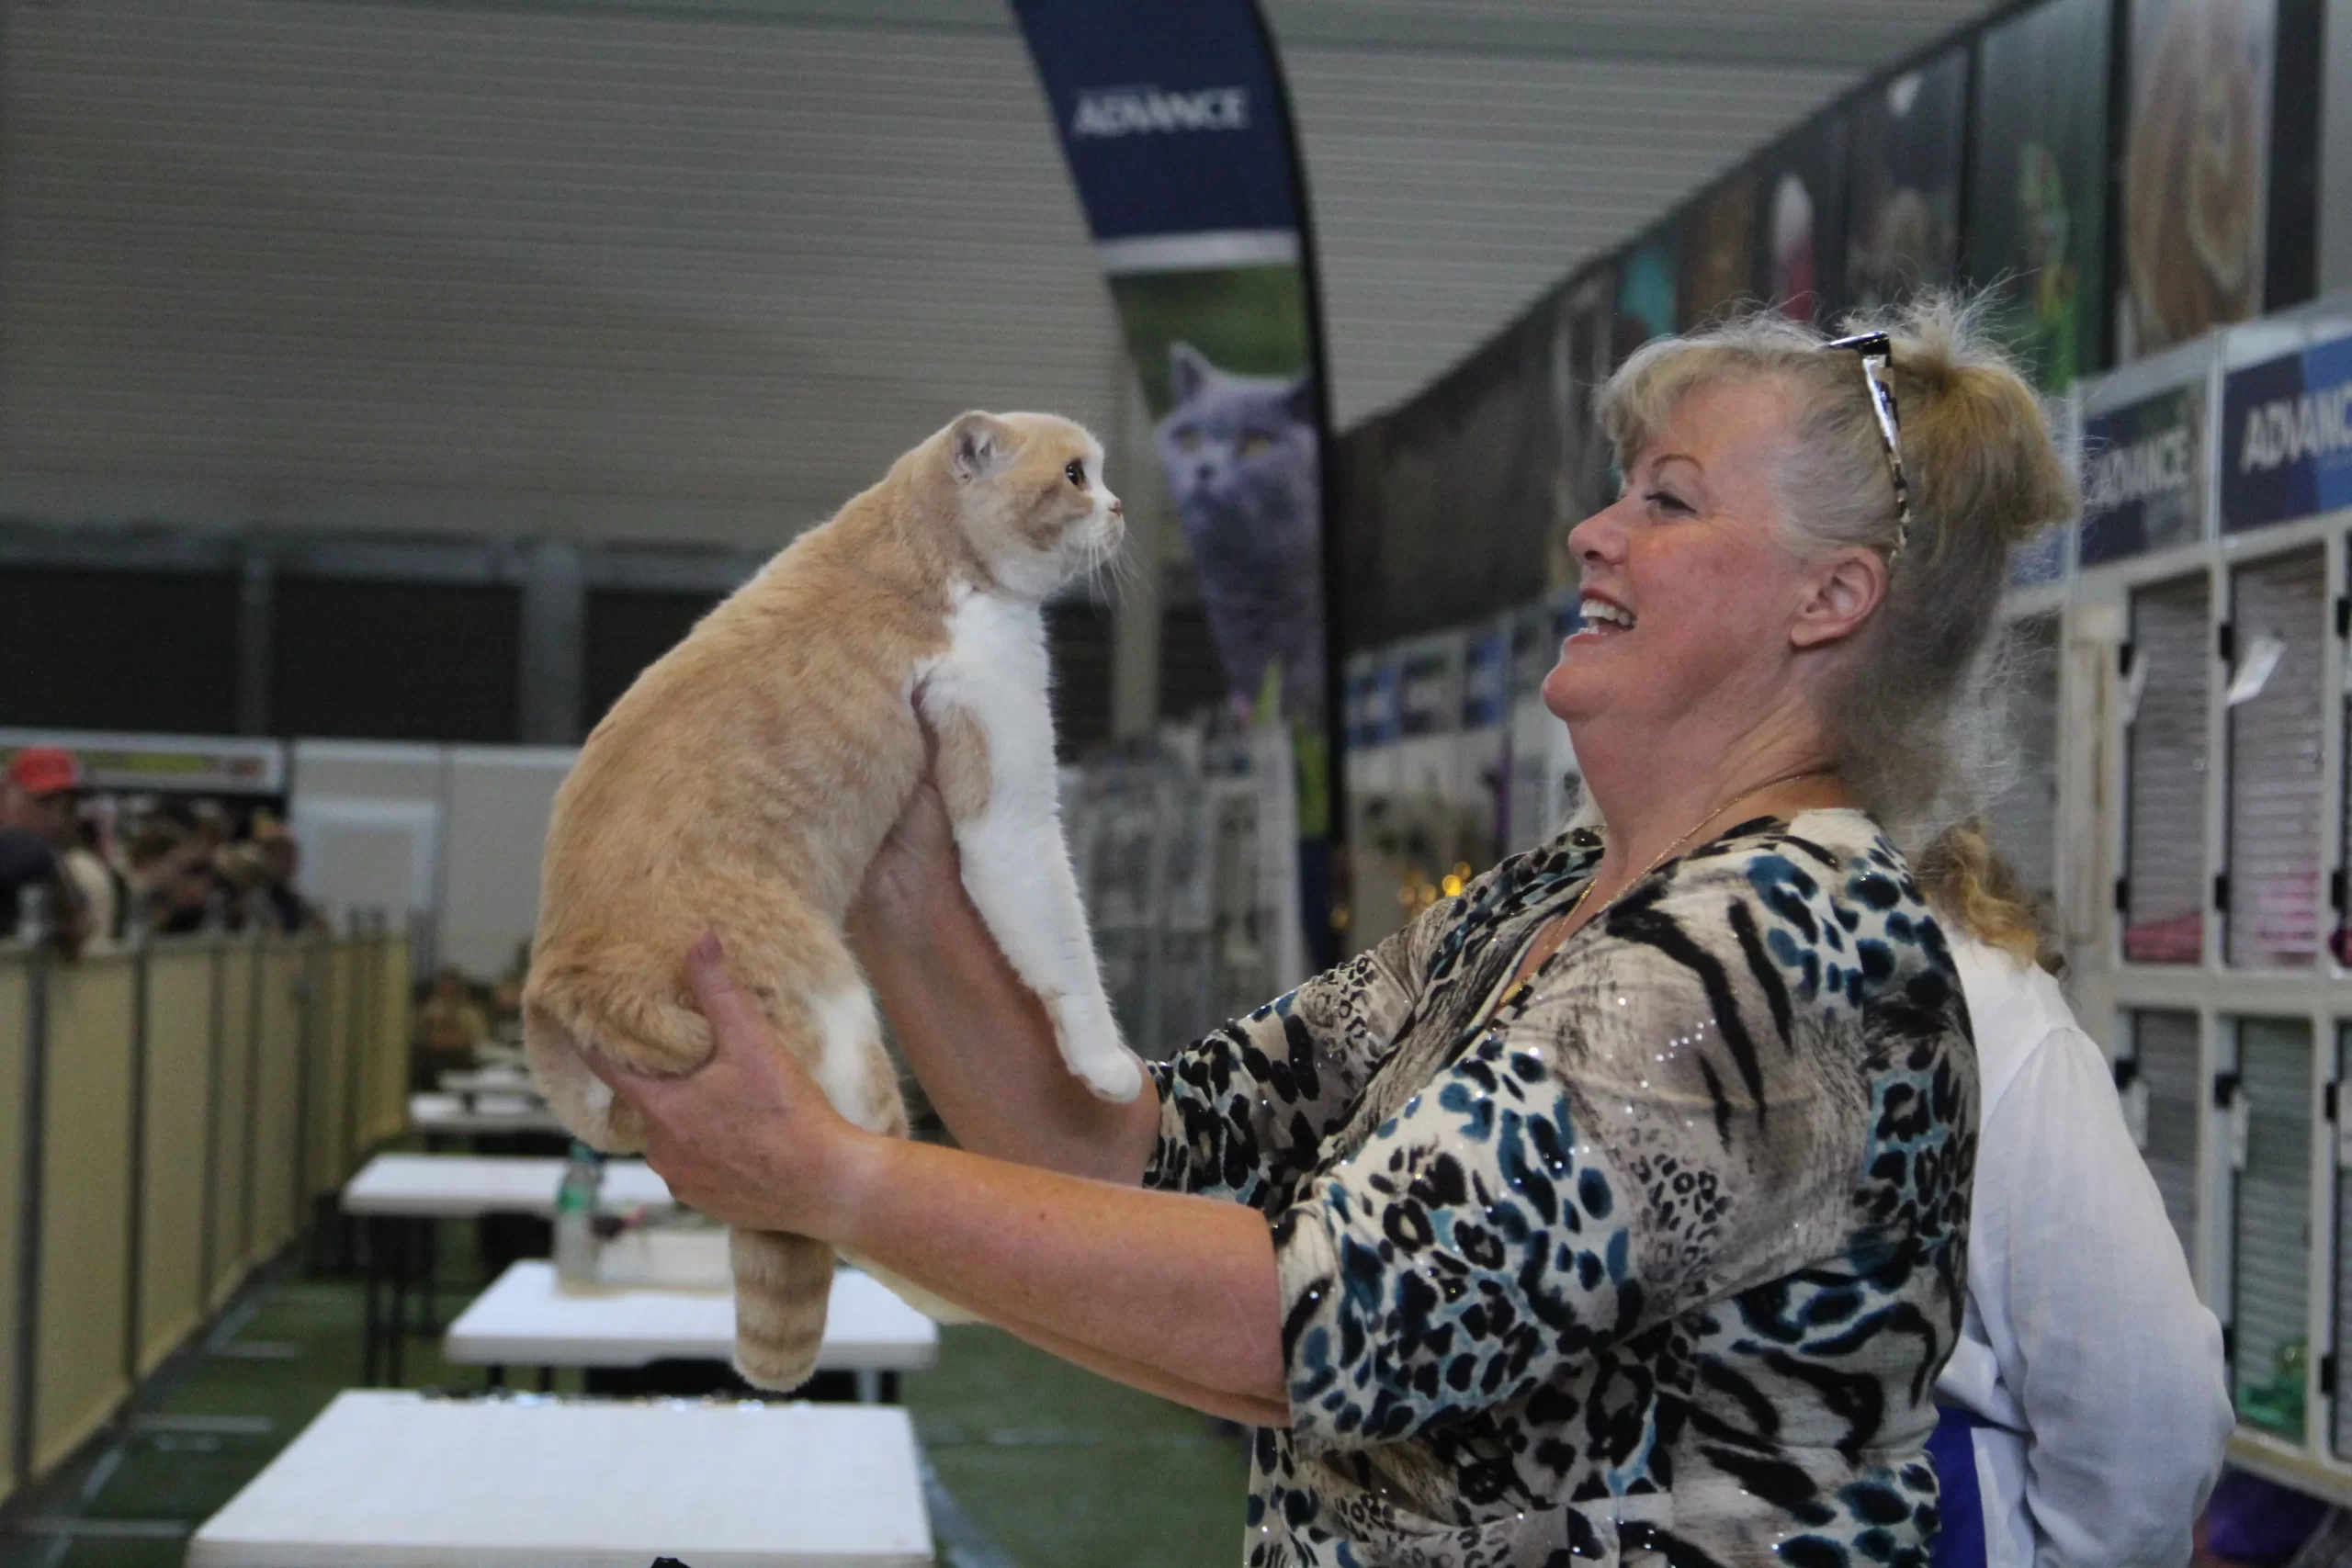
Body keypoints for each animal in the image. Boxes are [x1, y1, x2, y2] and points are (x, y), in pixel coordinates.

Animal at [524, 410, 1144, 1391]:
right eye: (1078, 475)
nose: (1121, 508)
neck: (913, 543)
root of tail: (558, 982)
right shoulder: (1009, 815)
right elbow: (1066, 951)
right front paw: (1107, 1064)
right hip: (836, 1012)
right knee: (865, 1195)